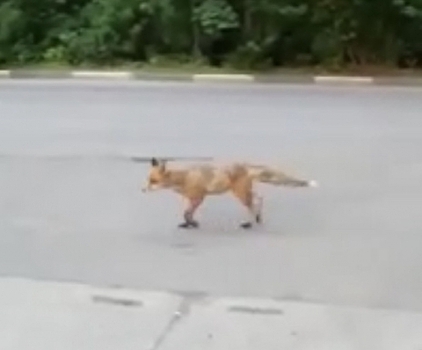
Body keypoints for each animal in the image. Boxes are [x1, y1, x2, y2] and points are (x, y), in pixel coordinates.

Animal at [140, 158, 318, 230]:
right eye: (148, 180)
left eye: (153, 181)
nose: (142, 190)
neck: (184, 178)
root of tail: (245, 165)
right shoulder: (190, 199)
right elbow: (187, 213)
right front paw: (188, 224)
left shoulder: (199, 198)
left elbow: (187, 213)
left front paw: (191, 224)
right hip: (245, 192)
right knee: (259, 199)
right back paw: (258, 219)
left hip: (240, 194)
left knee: (252, 206)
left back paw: (249, 223)